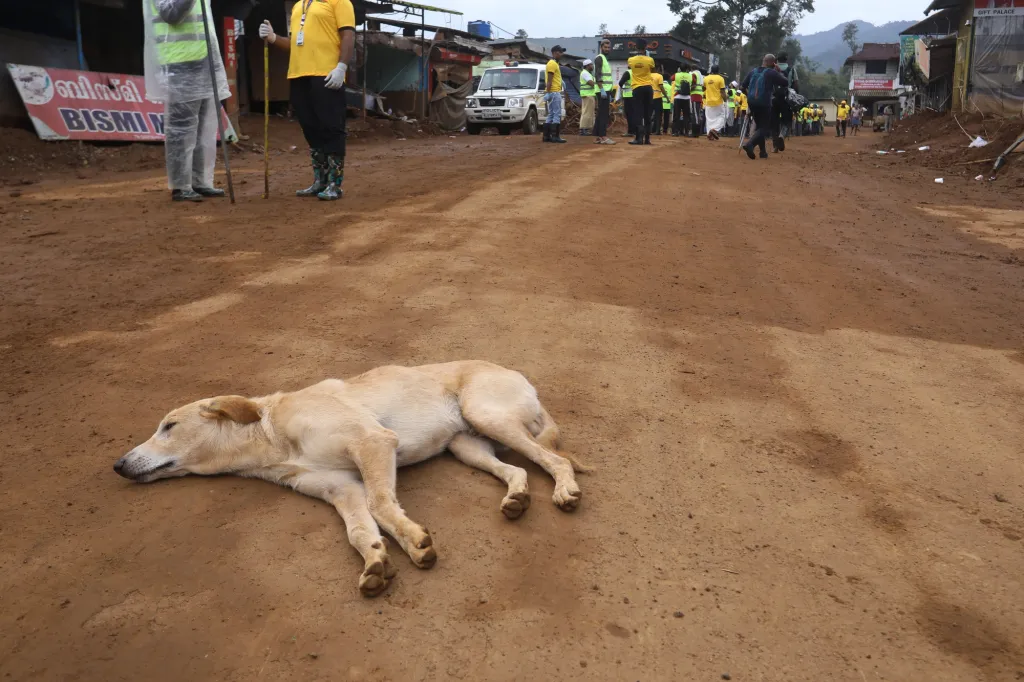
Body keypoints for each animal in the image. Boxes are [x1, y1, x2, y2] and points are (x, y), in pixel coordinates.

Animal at [114, 358, 585, 593]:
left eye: (169, 426)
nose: (117, 465)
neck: (269, 436)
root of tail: (514, 372)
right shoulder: (342, 490)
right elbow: (359, 530)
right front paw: (377, 560)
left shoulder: (373, 443)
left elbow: (381, 504)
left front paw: (412, 540)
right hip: (466, 446)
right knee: (518, 468)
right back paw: (516, 498)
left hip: (487, 415)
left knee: (555, 460)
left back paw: (565, 490)